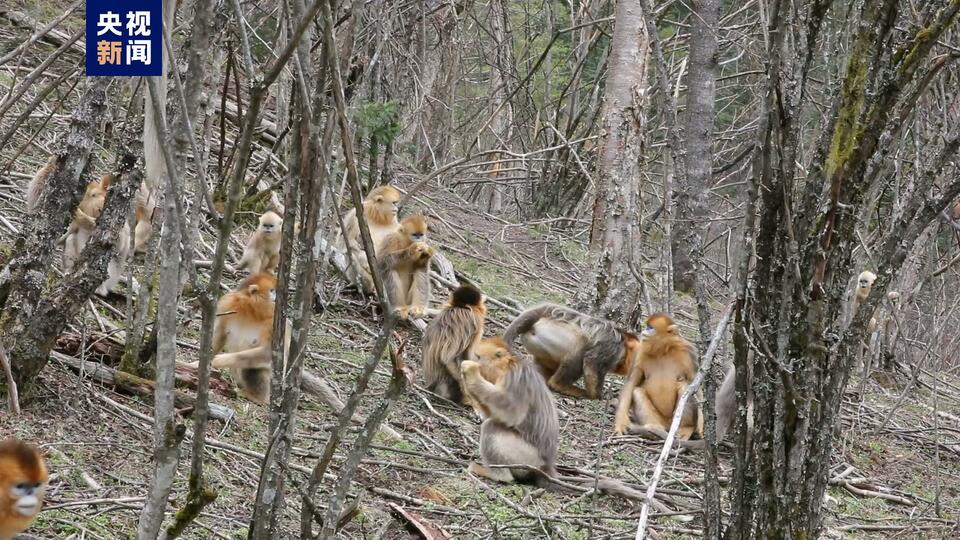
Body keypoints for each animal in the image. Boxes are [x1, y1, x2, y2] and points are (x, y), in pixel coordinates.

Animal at [502, 306, 636, 398]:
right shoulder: (613, 348)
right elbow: (592, 363)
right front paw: (597, 396)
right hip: (552, 332)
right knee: (581, 345)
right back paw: (559, 385)